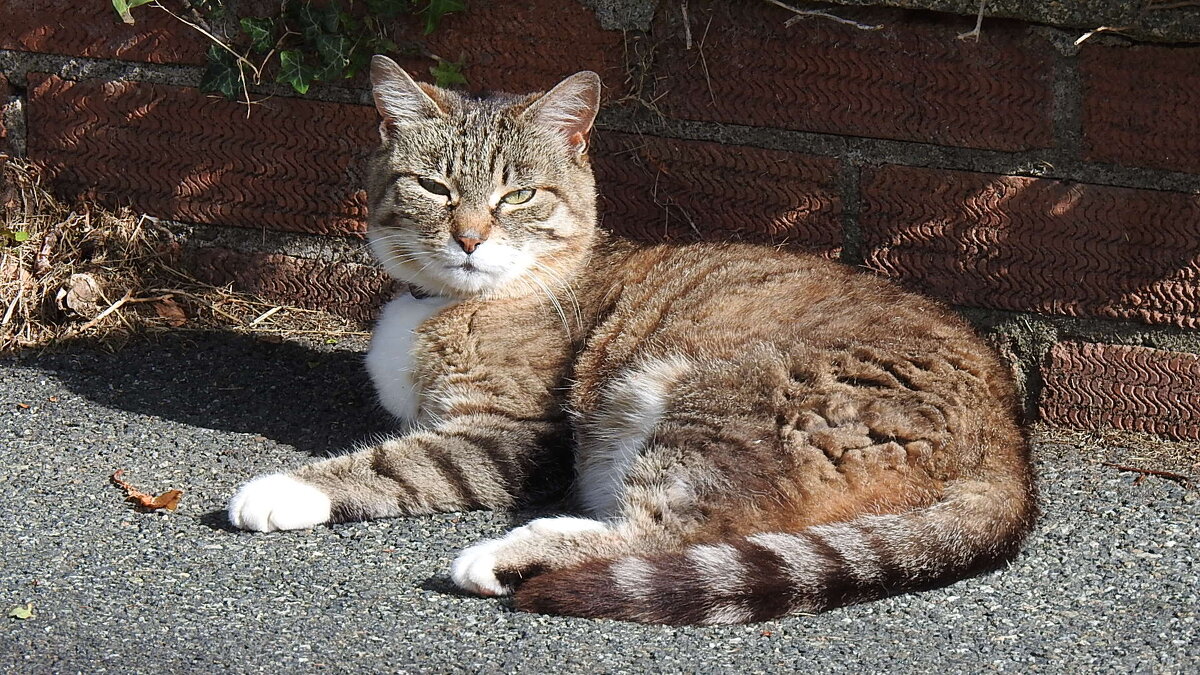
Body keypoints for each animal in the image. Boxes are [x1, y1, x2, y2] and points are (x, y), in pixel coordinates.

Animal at [226, 55, 1041, 624]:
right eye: (434, 188)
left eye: (518, 195)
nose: (469, 238)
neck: (455, 301)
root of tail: (1008, 447)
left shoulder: (510, 435)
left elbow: (403, 462)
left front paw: (284, 488)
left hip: (706, 398)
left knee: (673, 535)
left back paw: (508, 553)